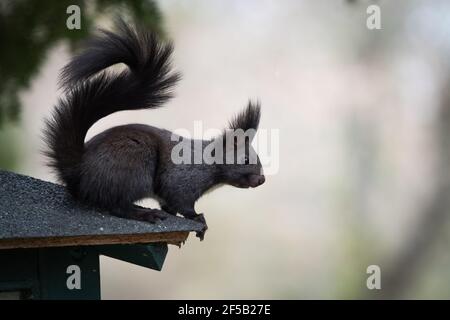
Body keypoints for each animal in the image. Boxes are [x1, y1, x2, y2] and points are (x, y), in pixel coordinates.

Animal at [43, 20, 264, 239]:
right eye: (246, 159)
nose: (261, 180)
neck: (209, 163)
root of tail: (79, 170)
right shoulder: (182, 179)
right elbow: (181, 202)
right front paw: (198, 218)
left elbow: (169, 206)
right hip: (133, 168)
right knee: (117, 206)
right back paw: (143, 213)